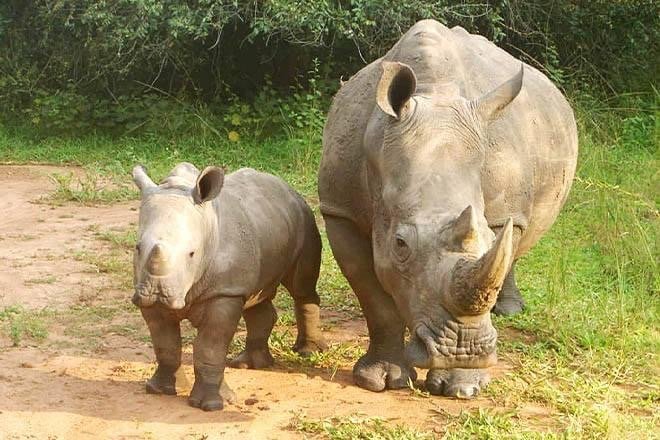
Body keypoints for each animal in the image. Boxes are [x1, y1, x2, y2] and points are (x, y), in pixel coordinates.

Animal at [131, 162, 326, 411]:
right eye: (138, 248)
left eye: (192, 253)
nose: (158, 292)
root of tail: (285, 186)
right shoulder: (147, 295)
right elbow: (166, 345)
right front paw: (158, 390)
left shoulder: (224, 292)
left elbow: (210, 347)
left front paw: (210, 405)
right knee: (257, 298)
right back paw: (248, 364)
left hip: (304, 217)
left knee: (301, 288)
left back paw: (307, 352)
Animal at [319, 20, 578, 398]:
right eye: (400, 245)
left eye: (489, 238)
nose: (464, 349)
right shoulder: (340, 211)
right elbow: (375, 299)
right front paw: (381, 380)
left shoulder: (499, 214)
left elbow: (498, 246)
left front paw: (463, 385)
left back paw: (510, 312)